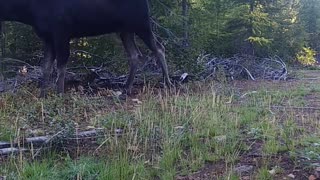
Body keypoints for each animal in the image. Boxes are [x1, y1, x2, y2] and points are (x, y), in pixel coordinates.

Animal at [0, 0, 172, 97]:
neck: (27, 12)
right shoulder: (48, 38)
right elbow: (46, 67)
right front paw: (43, 95)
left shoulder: (61, 33)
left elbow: (61, 66)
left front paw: (59, 94)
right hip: (125, 30)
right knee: (136, 54)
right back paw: (126, 89)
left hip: (141, 23)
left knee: (159, 48)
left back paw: (168, 83)